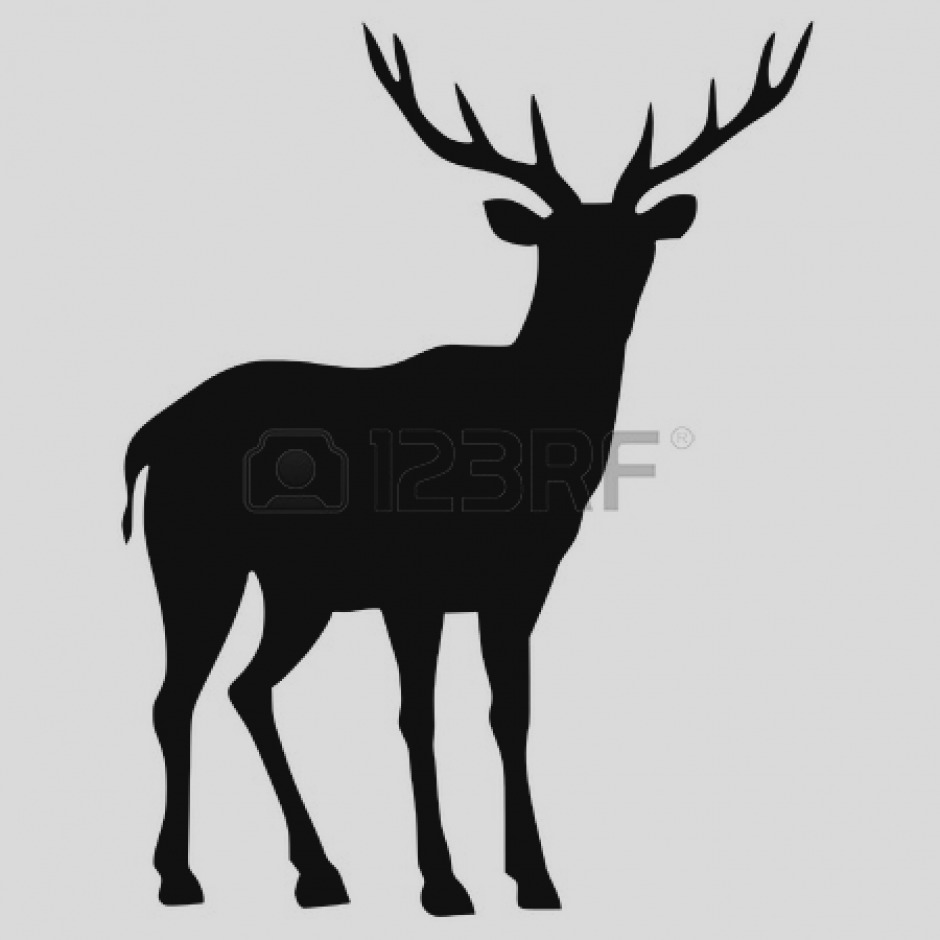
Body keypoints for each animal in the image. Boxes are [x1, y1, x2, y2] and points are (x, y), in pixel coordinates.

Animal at [123, 23, 813, 916]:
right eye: (557, 247)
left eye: (637, 247)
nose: (602, 313)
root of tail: (148, 436)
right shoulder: (411, 582)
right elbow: (417, 717)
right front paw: (443, 882)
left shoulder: (521, 582)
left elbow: (509, 713)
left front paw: (536, 877)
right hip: (194, 557)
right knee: (175, 698)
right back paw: (181, 877)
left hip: (298, 590)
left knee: (247, 688)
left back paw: (318, 872)